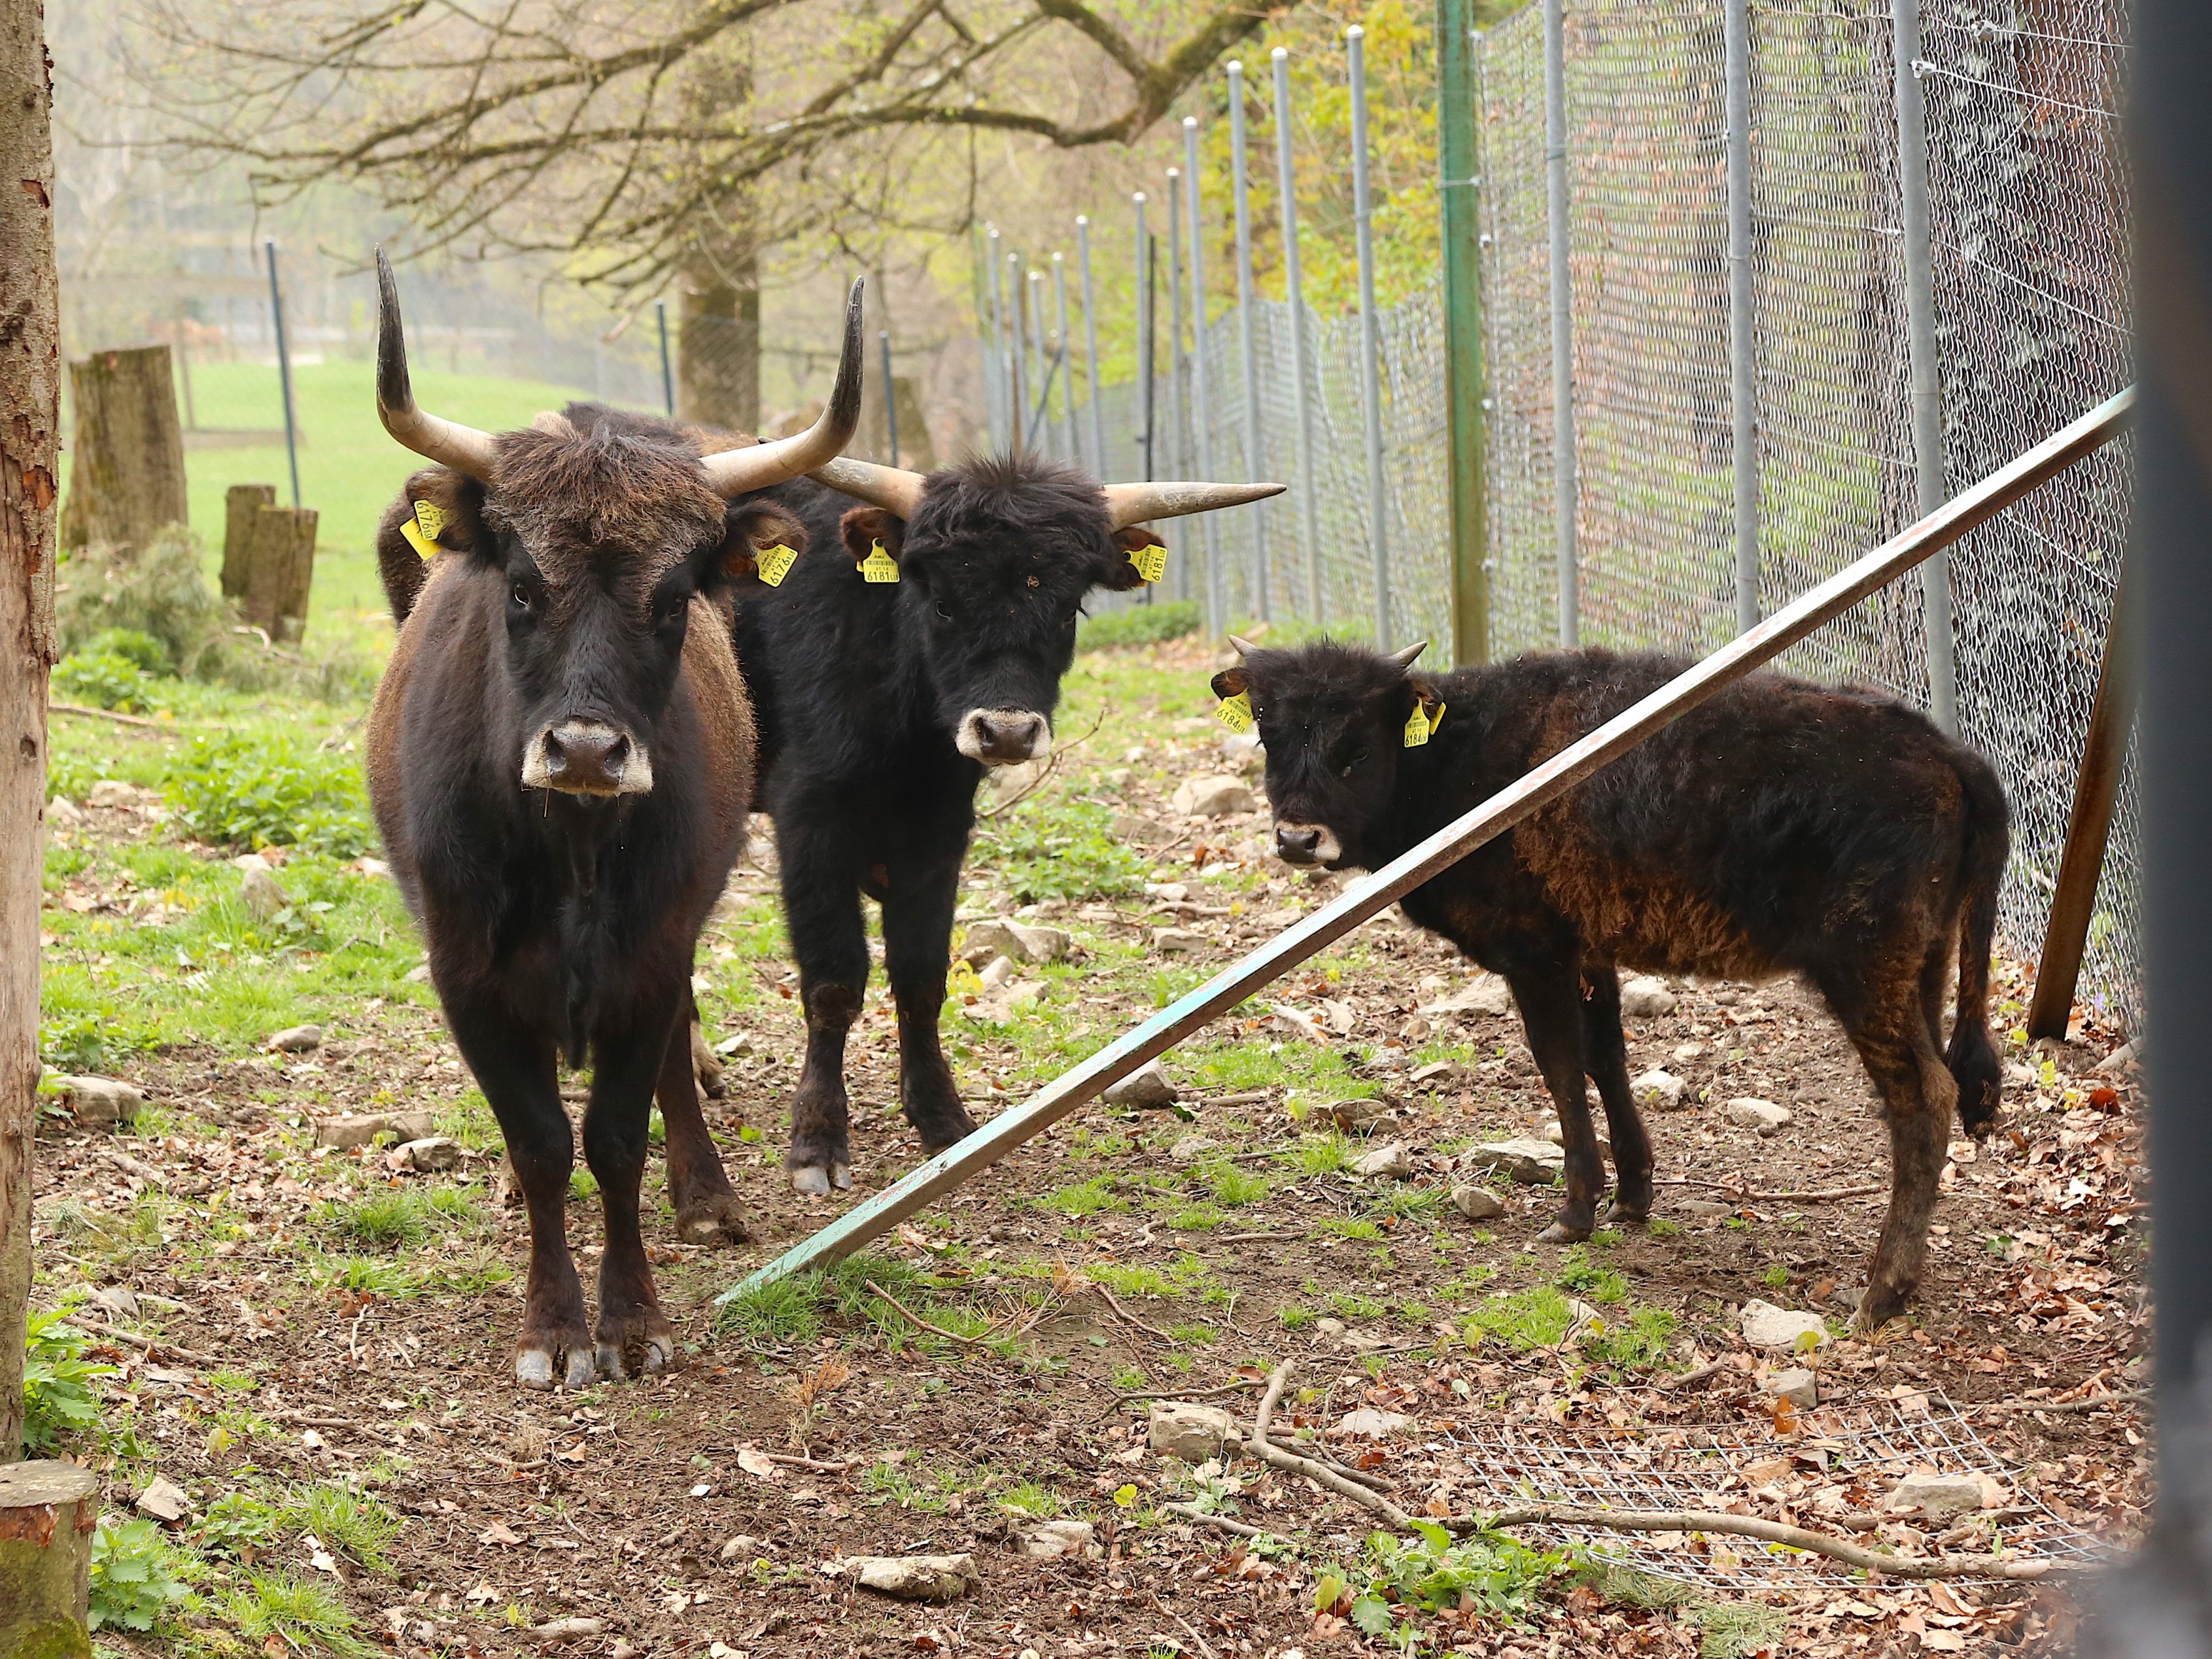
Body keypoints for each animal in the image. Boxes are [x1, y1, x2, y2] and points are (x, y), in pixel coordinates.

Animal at [362, 250, 862, 1389]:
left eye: (674, 596)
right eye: (520, 585)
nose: (586, 752)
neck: (572, 853)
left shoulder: (652, 955)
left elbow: (618, 1138)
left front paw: (632, 1317)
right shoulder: (468, 976)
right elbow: (545, 1142)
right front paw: (553, 1326)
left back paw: (708, 1194)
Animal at [725, 455, 1283, 1194]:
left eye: (1069, 607)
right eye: (941, 602)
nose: (1008, 732)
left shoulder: (938, 834)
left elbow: (922, 977)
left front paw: (943, 1119)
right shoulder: (809, 826)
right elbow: (833, 982)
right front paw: (817, 1141)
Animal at [1220, 641, 2017, 1336]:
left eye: (1357, 745)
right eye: (1267, 731)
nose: (1297, 839)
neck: (1460, 751)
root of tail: (1951, 755)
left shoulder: (1535, 954)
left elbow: (1560, 1066)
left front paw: (1574, 1210)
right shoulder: (1589, 952)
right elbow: (1607, 1055)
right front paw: (1633, 1194)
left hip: (1864, 974)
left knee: (1923, 1095)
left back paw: (1881, 1291)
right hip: (1923, 969)